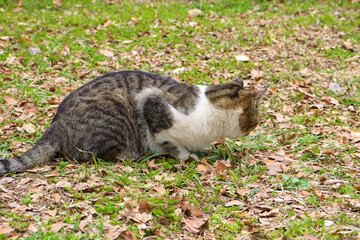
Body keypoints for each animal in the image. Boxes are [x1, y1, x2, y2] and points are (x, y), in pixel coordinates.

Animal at [0, 70, 264, 175]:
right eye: (255, 122)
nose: (255, 128)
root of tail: (55, 124)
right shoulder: (151, 104)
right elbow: (171, 141)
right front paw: (185, 155)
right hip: (116, 103)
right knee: (94, 154)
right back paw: (131, 156)